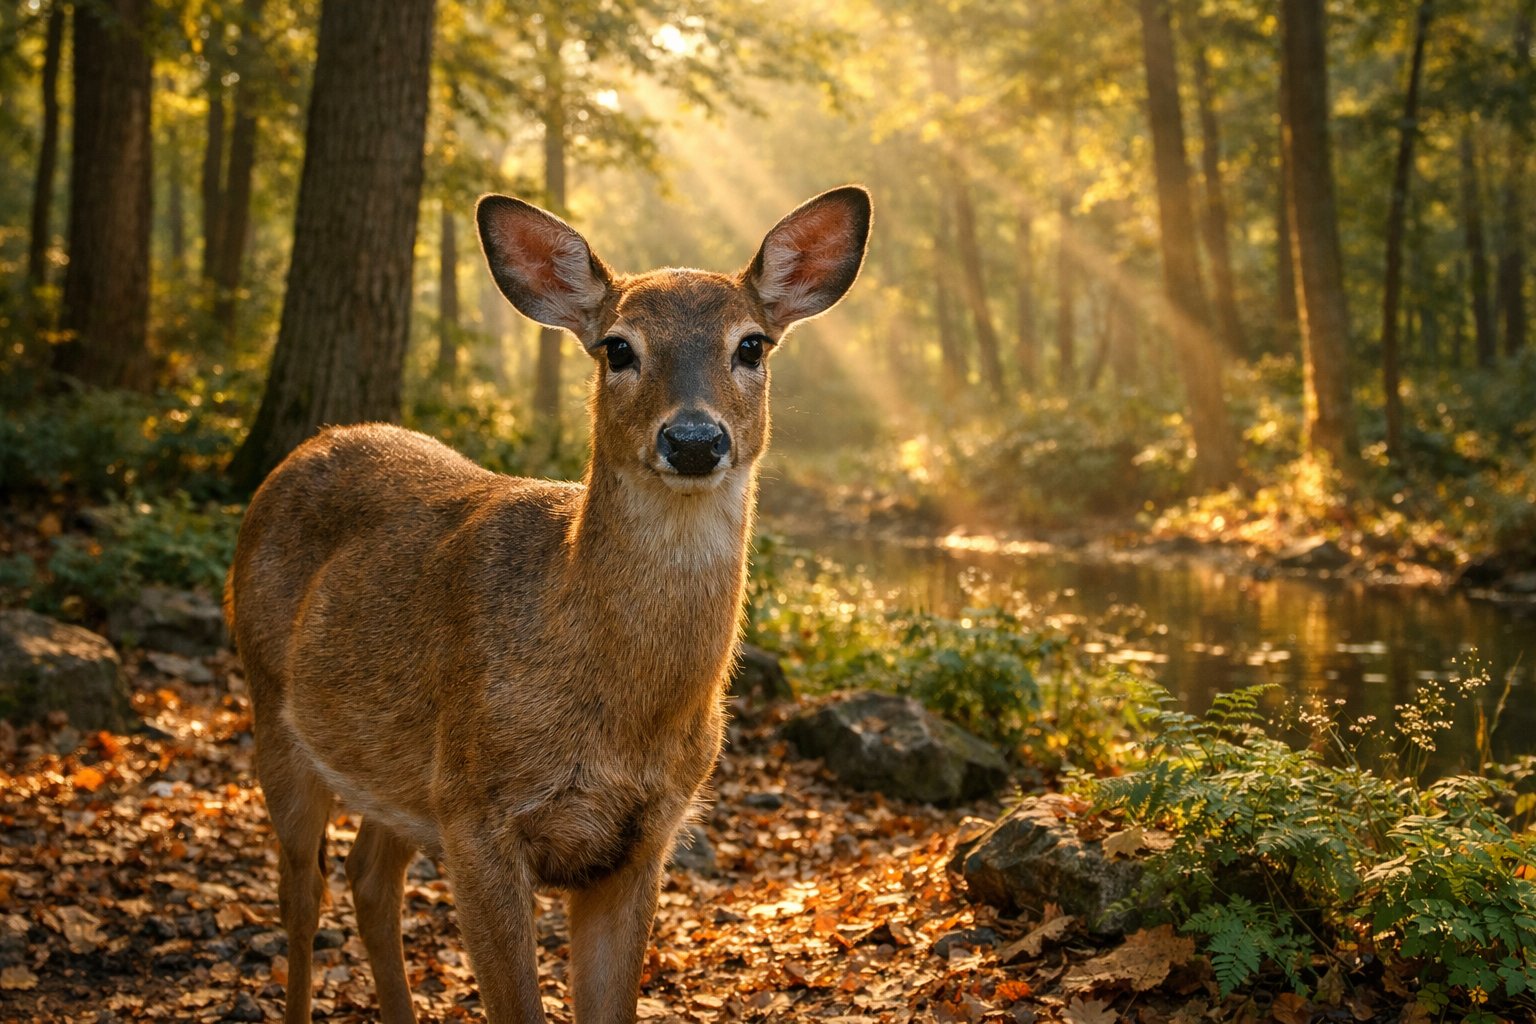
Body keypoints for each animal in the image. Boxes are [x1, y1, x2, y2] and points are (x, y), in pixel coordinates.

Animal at [224, 185, 871, 1023]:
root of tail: (307, 447)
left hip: (401, 771)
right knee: (302, 894)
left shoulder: (642, 839)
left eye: (753, 345)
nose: (695, 440)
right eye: (617, 348)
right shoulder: (478, 816)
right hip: (273, 706)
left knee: (370, 880)